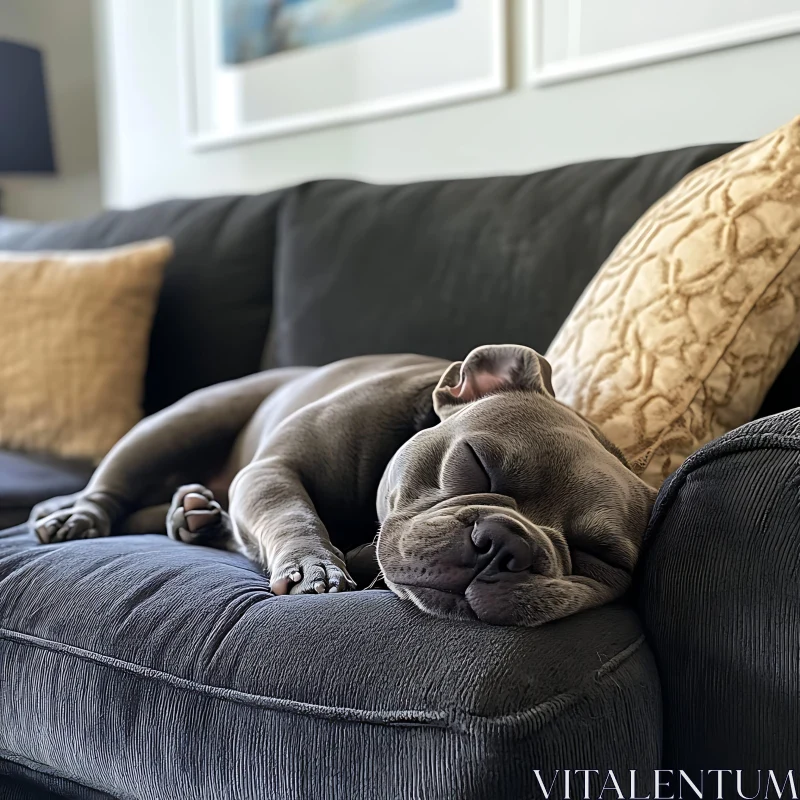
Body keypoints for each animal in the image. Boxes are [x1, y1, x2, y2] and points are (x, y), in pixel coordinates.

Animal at [31, 344, 656, 624]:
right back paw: (79, 516)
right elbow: (293, 513)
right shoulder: (273, 471)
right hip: (182, 421)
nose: (506, 542)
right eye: (477, 463)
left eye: (600, 556)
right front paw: (313, 567)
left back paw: (194, 514)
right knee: (112, 484)